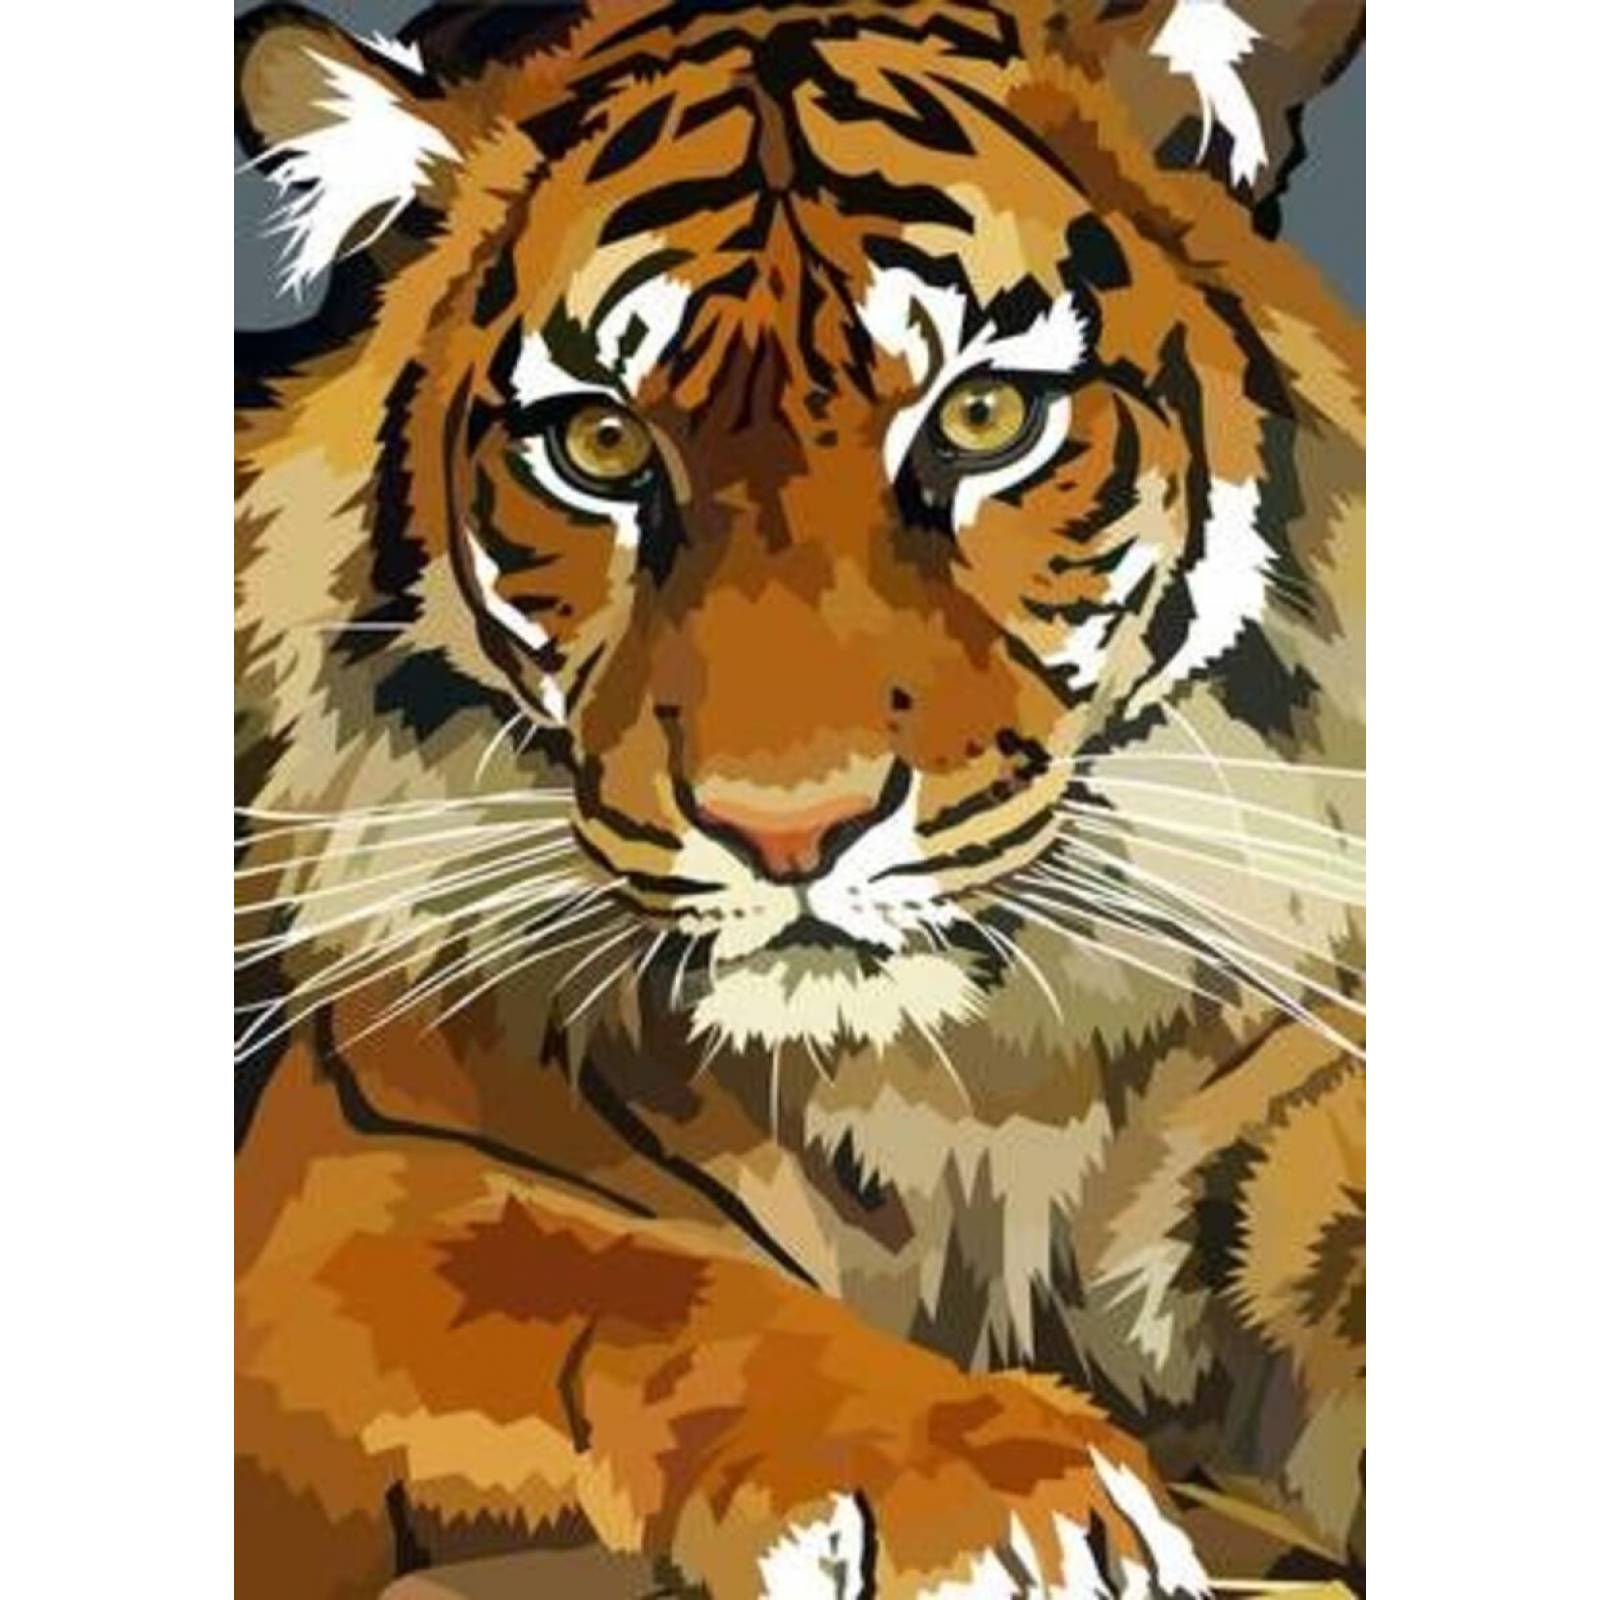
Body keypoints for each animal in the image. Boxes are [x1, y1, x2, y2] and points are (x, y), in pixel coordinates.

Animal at [234, 2, 1365, 1596]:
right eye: (599, 446)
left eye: (985, 416)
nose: (786, 831)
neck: (961, 1086)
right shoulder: (344, 1195)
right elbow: (624, 1280)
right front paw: (989, 1489)